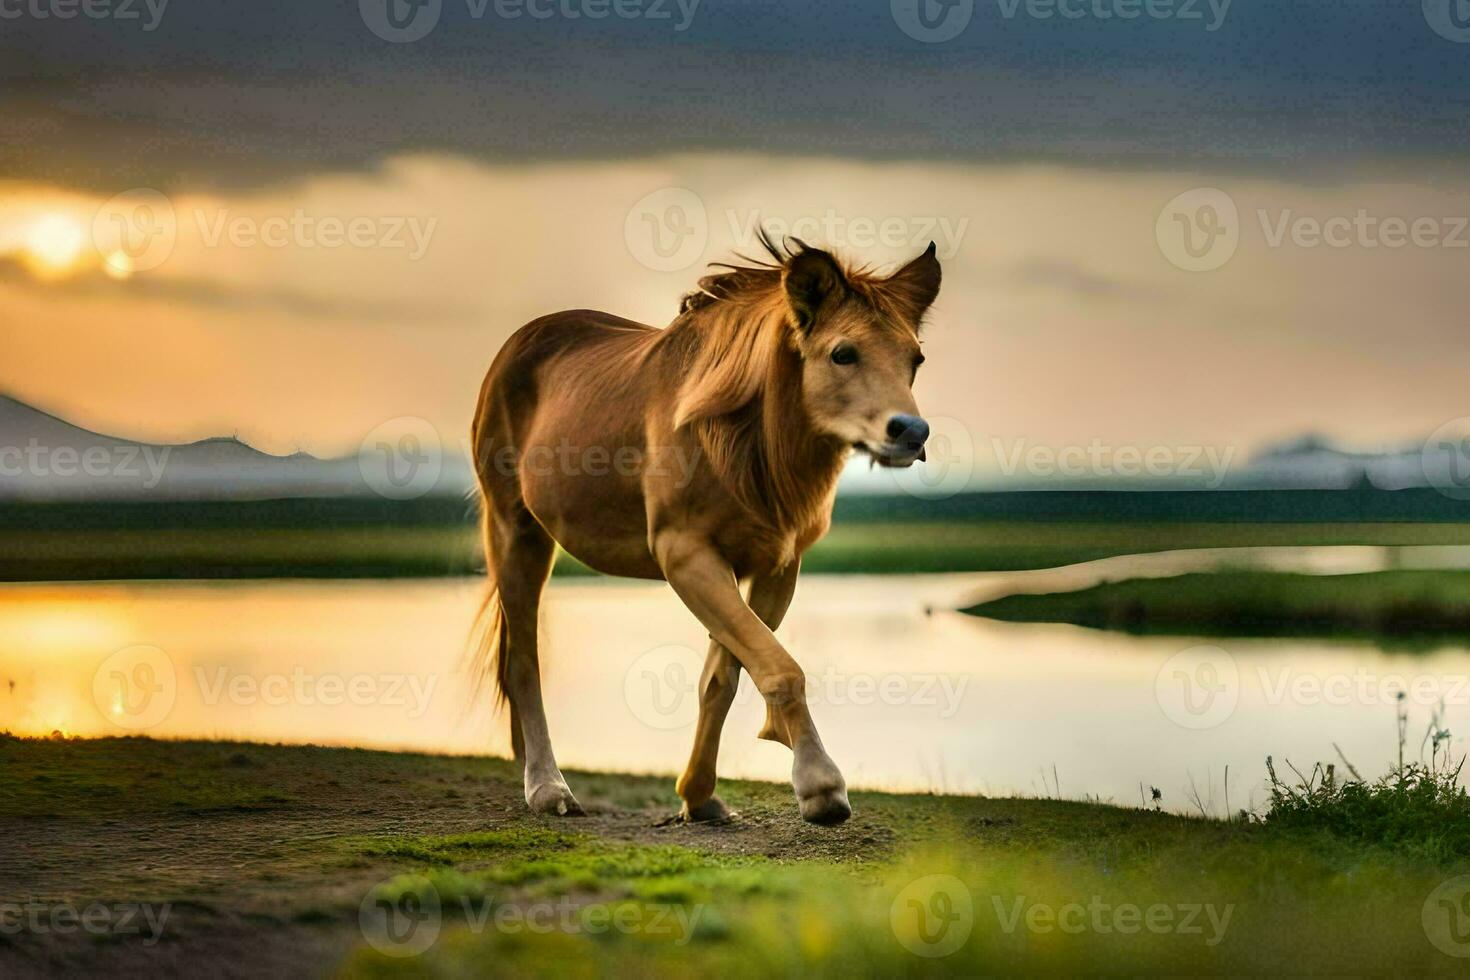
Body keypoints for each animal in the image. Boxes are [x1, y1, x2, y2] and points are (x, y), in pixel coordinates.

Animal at [470, 238, 940, 828]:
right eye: (842, 353)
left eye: (915, 358)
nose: (911, 432)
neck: (741, 441)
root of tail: (517, 346)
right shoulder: (686, 556)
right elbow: (779, 668)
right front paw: (819, 784)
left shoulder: (775, 567)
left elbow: (726, 675)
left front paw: (698, 794)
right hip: (517, 535)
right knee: (523, 664)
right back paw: (547, 788)